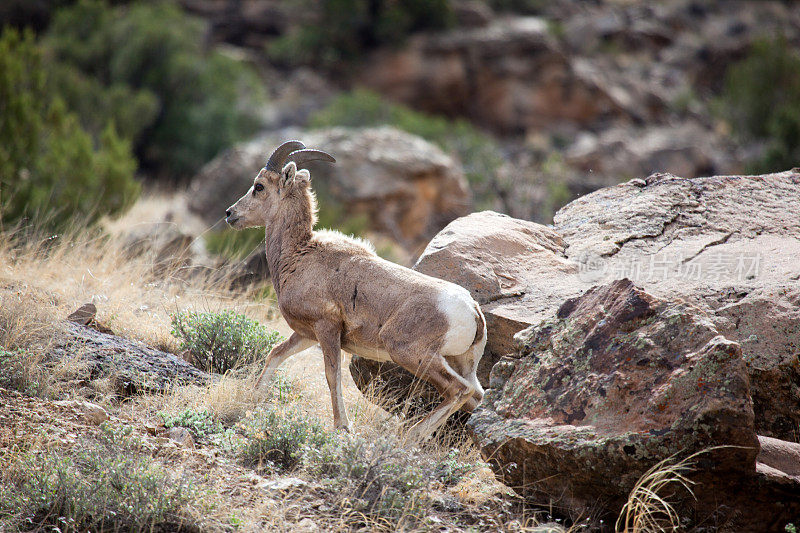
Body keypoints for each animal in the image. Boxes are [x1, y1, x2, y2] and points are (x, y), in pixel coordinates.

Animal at [227, 140, 488, 440]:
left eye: (259, 186)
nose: (230, 214)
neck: (299, 256)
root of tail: (472, 312)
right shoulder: (306, 334)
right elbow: (275, 354)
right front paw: (254, 398)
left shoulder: (326, 328)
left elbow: (332, 376)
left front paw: (342, 426)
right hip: (461, 362)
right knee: (475, 395)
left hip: (410, 354)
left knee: (459, 390)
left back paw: (409, 437)